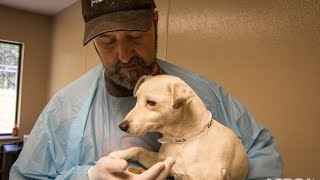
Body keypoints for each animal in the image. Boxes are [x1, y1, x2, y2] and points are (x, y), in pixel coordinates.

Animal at [110, 75, 250, 180]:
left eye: (151, 103)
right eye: (136, 100)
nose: (122, 126)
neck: (181, 141)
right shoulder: (160, 161)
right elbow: (138, 149)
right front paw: (117, 155)